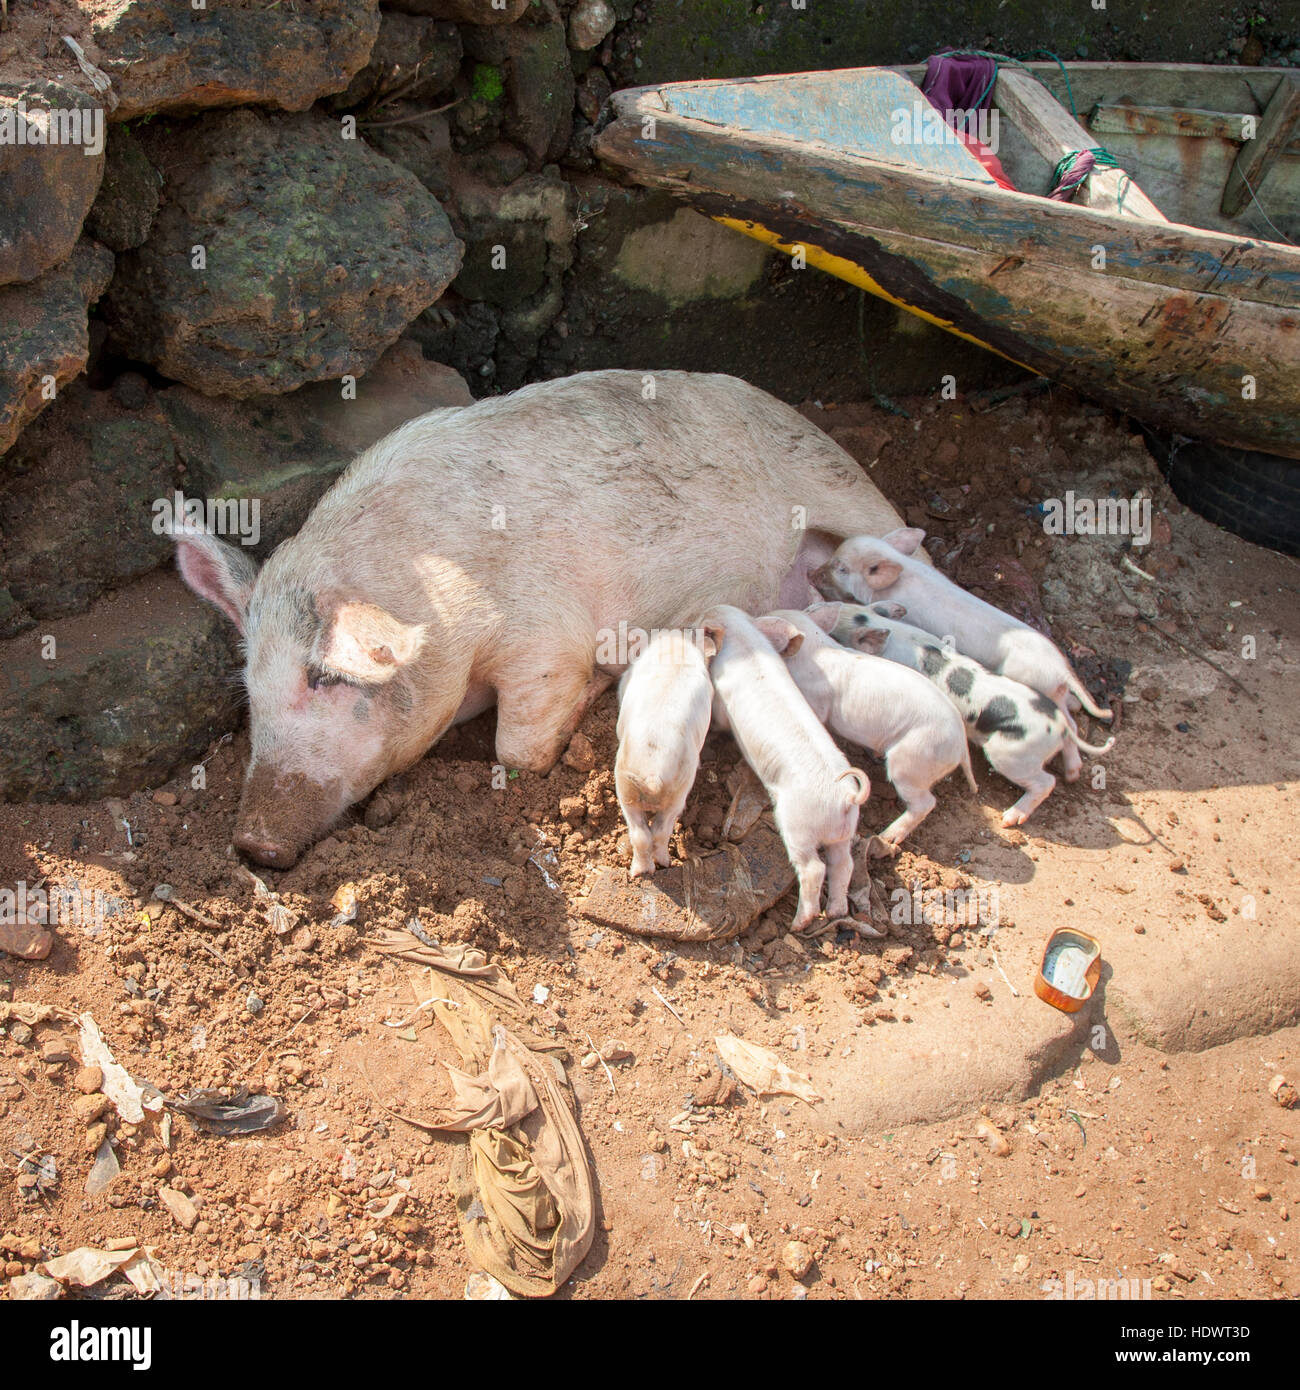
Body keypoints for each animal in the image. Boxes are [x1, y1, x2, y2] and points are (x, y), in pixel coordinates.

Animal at [175, 375, 917, 861]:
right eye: (251, 691)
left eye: (326, 678)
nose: (252, 843)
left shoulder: (546, 637)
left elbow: (519, 750)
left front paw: (590, 697)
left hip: (844, 485)